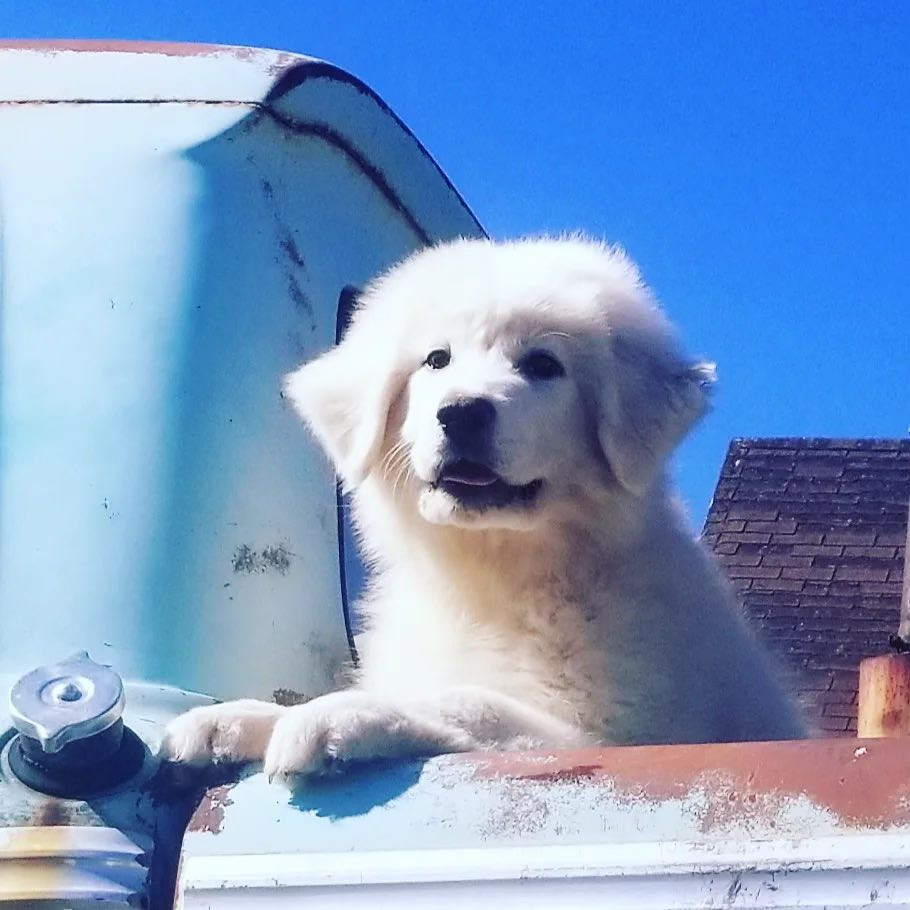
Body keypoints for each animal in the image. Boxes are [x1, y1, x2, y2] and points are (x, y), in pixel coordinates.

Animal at [164, 239, 804, 780]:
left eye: (544, 365)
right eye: (436, 360)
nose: (463, 413)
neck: (490, 573)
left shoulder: (614, 732)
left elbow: (471, 701)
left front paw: (337, 715)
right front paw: (235, 718)